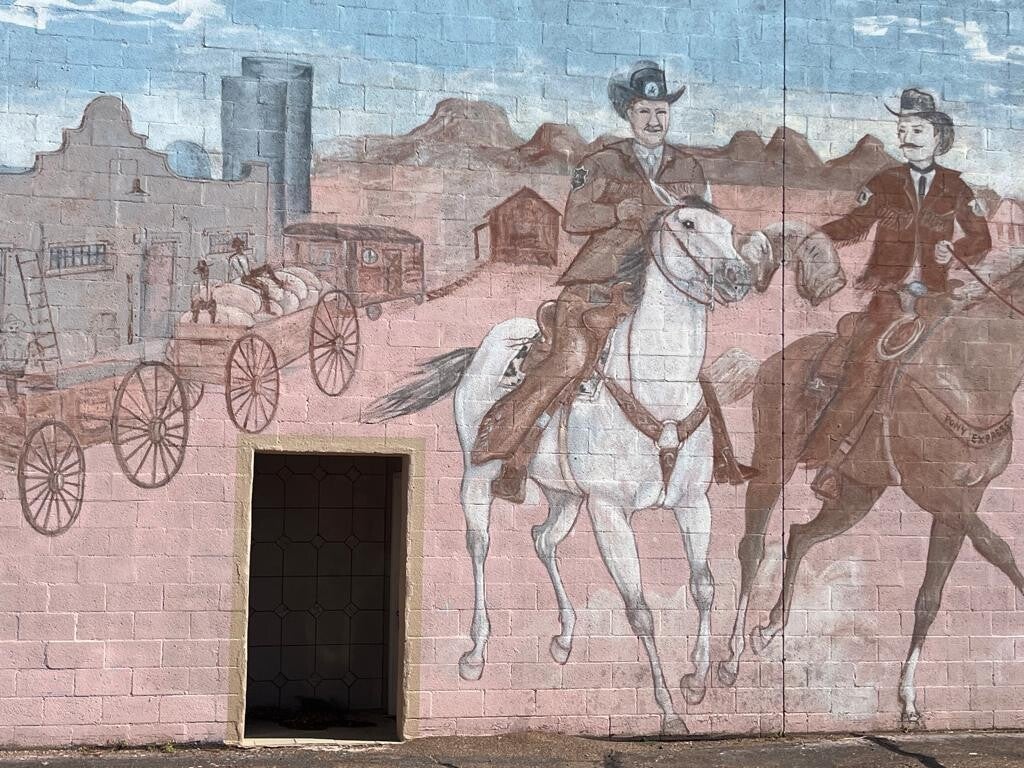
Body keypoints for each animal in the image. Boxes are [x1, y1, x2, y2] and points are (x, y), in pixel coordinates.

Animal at [365, 199, 756, 733]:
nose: (737, 277)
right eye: (687, 223)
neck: (659, 389)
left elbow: (703, 587)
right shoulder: (609, 512)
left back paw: (565, 638)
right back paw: (475, 653)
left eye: (730, 228)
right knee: (479, 545)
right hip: (478, 478)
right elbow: (639, 610)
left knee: (543, 539)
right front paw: (669, 711)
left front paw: (696, 680)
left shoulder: (694, 504)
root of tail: (482, 349)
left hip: (565, 495)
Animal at [717, 261, 1024, 725]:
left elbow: (930, 596)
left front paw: (908, 701)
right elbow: (999, 548)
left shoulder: (966, 496)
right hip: (774, 463)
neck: (972, 375)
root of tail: (769, 363)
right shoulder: (932, 490)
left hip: (857, 495)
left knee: (801, 534)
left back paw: (770, 629)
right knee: (752, 546)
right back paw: (731, 659)